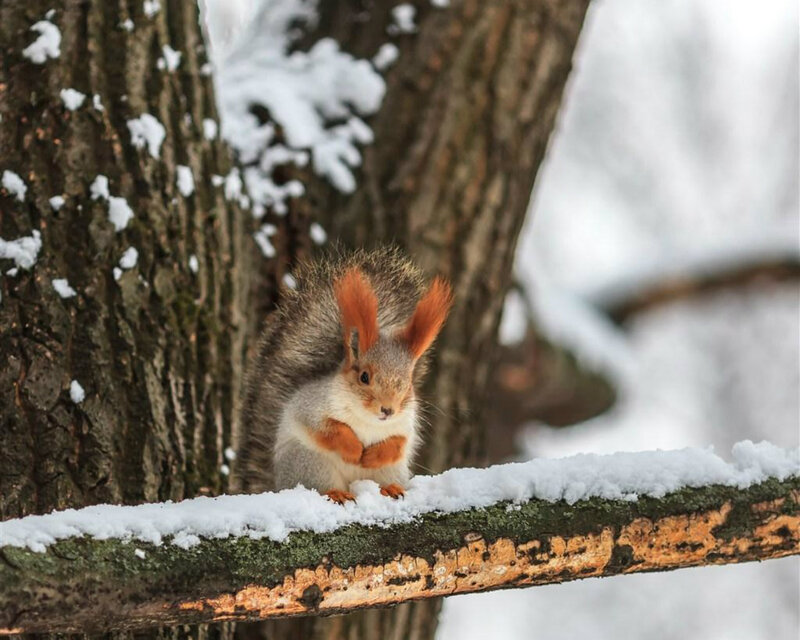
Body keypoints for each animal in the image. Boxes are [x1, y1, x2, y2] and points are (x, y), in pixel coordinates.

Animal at [237, 247, 453, 504]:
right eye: (364, 377)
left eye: (406, 383)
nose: (388, 410)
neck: (369, 419)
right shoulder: (312, 407)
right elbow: (328, 428)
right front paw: (354, 449)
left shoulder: (406, 423)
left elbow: (399, 443)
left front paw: (372, 456)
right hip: (310, 463)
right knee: (321, 484)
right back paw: (337, 492)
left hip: (390, 470)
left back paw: (390, 488)